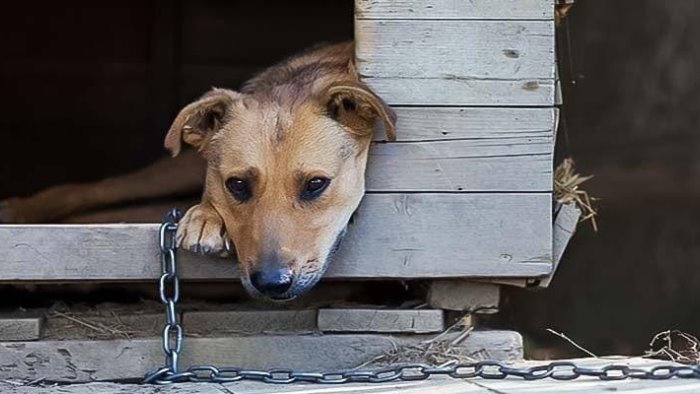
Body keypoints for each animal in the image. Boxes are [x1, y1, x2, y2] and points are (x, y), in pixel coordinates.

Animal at [0, 42, 394, 302]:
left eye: (315, 185)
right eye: (237, 184)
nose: (271, 282)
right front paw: (204, 217)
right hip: (173, 168)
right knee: (94, 191)